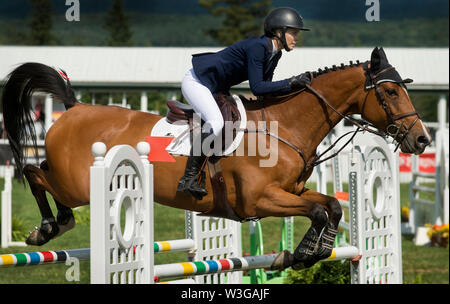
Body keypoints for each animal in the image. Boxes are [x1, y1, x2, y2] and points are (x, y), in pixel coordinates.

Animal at [0, 47, 428, 270]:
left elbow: (330, 207)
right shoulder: (259, 200)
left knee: (38, 174)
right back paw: (48, 228)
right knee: (34, 173)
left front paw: (311, 252)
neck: (283, 127)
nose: (421, 139)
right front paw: (306, 253)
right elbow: (320, 210)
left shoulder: (292, 191)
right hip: (78, 185)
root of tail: (72, 109)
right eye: (391, 93)